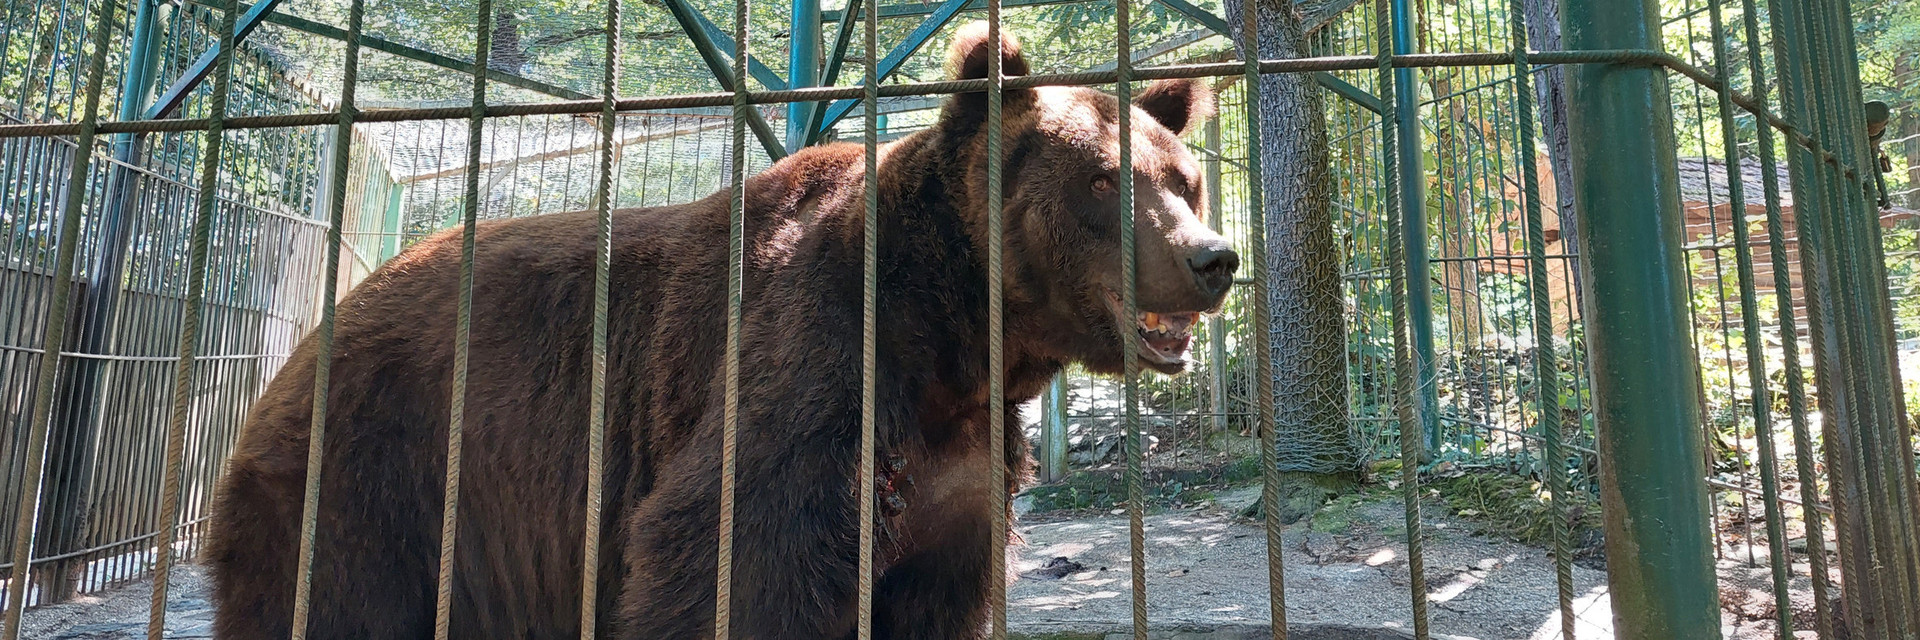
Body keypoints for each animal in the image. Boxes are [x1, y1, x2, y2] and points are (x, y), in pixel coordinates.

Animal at [203, 21, 1236, 640]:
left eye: (1181, 178)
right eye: (1101, 181)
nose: (1212, 257)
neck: (949, 337)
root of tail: (318, 326)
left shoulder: (958, 476)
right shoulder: (813, 366)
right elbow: (731, 557)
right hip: (375, 474)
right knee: (336, 599)